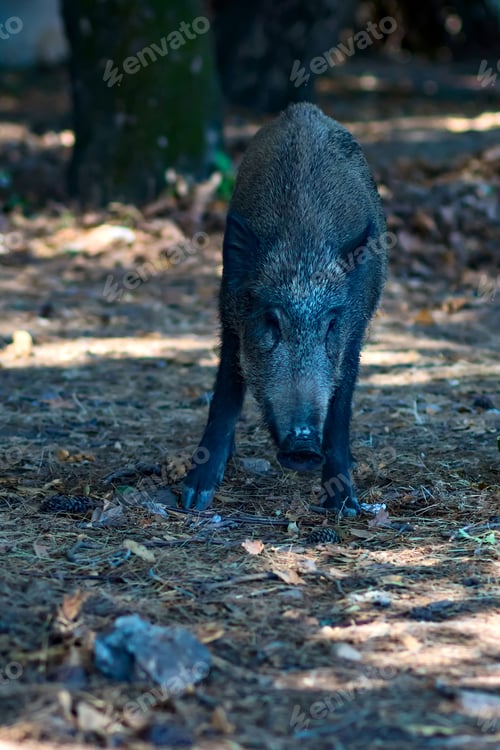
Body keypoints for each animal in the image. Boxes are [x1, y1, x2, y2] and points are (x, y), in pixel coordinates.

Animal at [182, 102, 388, 516]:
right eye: (271, 321)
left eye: (331, 325)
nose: (304, 447)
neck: (302, 250)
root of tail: (304, 109)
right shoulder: (231, 314)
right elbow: (226, 392)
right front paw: (194, 497)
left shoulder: (354, 332)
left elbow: (340, 408)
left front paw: (344, 504)